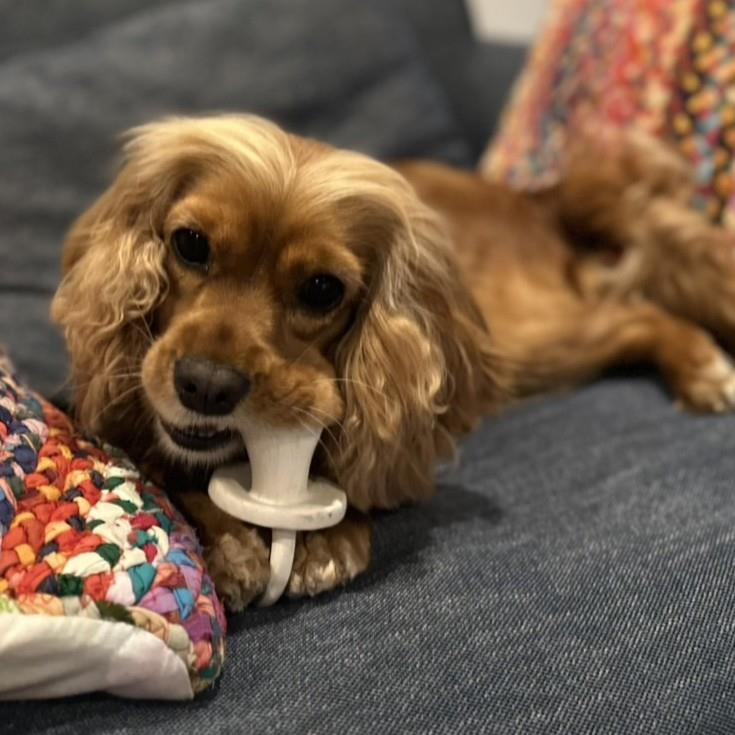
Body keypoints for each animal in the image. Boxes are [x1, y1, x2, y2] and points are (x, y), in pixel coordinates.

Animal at [52, 115, 735, 609]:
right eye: (190, 244)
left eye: (322, 289)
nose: (206, 386)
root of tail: (534, 198)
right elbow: (156, 461)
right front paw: (226, 538)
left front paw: (325, 536)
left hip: (524, 337)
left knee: (638, 314)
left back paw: (705, 368)